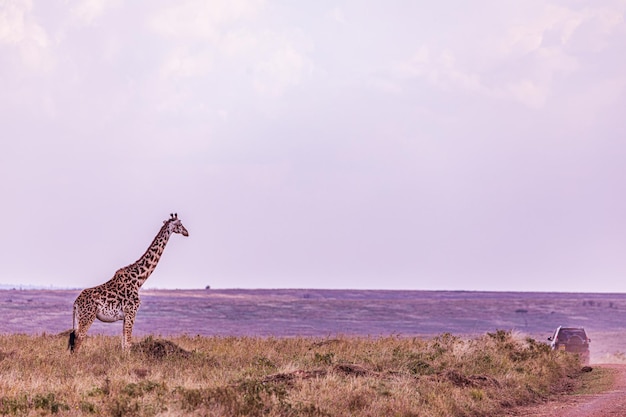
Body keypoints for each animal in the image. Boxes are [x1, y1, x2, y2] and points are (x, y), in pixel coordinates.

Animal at [68, 213, 189, 352]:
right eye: (179, 224)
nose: (187, 232)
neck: (139, 280)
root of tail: (76, 303)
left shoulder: (125, 316)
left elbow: (124, 344)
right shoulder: (131, 312)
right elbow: (128, 344)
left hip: (79, 319)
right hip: (87, 317)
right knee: (78, 341)